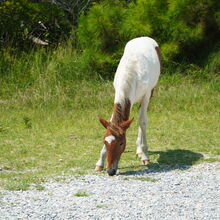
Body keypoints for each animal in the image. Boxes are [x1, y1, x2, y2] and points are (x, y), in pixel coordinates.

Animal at [95, 37, 161, 176]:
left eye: (121, 143)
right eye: (105, 141)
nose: (110, 171)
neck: (131, 73)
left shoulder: (146, 95)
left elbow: (142, 121)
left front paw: (145, 156)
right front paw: (100, 162)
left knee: (142, 118)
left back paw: (140, 151)